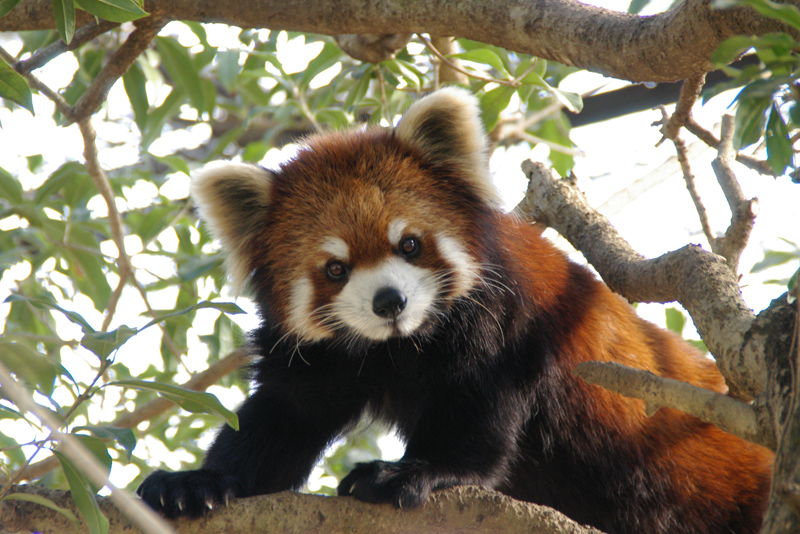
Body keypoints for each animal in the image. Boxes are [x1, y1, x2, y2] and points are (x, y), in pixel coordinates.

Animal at [139, 89, 776, 534]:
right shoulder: (319, 360)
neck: (399, 348)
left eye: (409, 244)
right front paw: (199, 482)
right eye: (335, 269)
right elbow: (279, 421)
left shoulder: (512, 328)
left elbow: (478, 420)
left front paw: (411, 471)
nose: (389, 301)